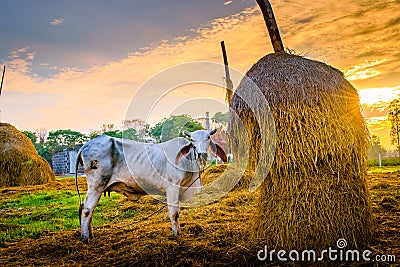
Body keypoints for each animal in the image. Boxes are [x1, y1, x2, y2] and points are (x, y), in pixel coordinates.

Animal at [74, 129, 227, 244]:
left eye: (208, 137)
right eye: (193, 141)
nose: (202, 154)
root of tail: (86, 145)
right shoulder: (172, 187)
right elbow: (174, 213)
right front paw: (176, 234)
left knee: (90, 210)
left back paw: (91, 234)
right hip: (96, 185)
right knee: (86, 209)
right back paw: (85, 238)